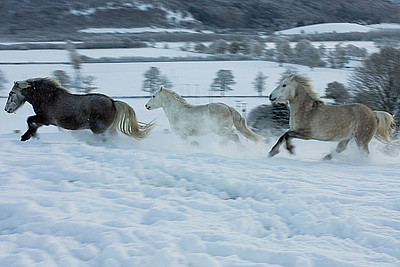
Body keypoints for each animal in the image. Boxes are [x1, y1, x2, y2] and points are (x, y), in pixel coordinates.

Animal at [268, 74, 396, 160]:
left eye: (284, 85)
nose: (270, 96)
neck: (308, 110)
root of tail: (373, 114)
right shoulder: (295, 130)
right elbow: (283, 136)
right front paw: (272, 153)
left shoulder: (307, 134)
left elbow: (287, 135)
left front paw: (291, 150)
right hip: (347, 137)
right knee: (341, 148)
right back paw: (325, 158)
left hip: (361, 139)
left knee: (364, 153)